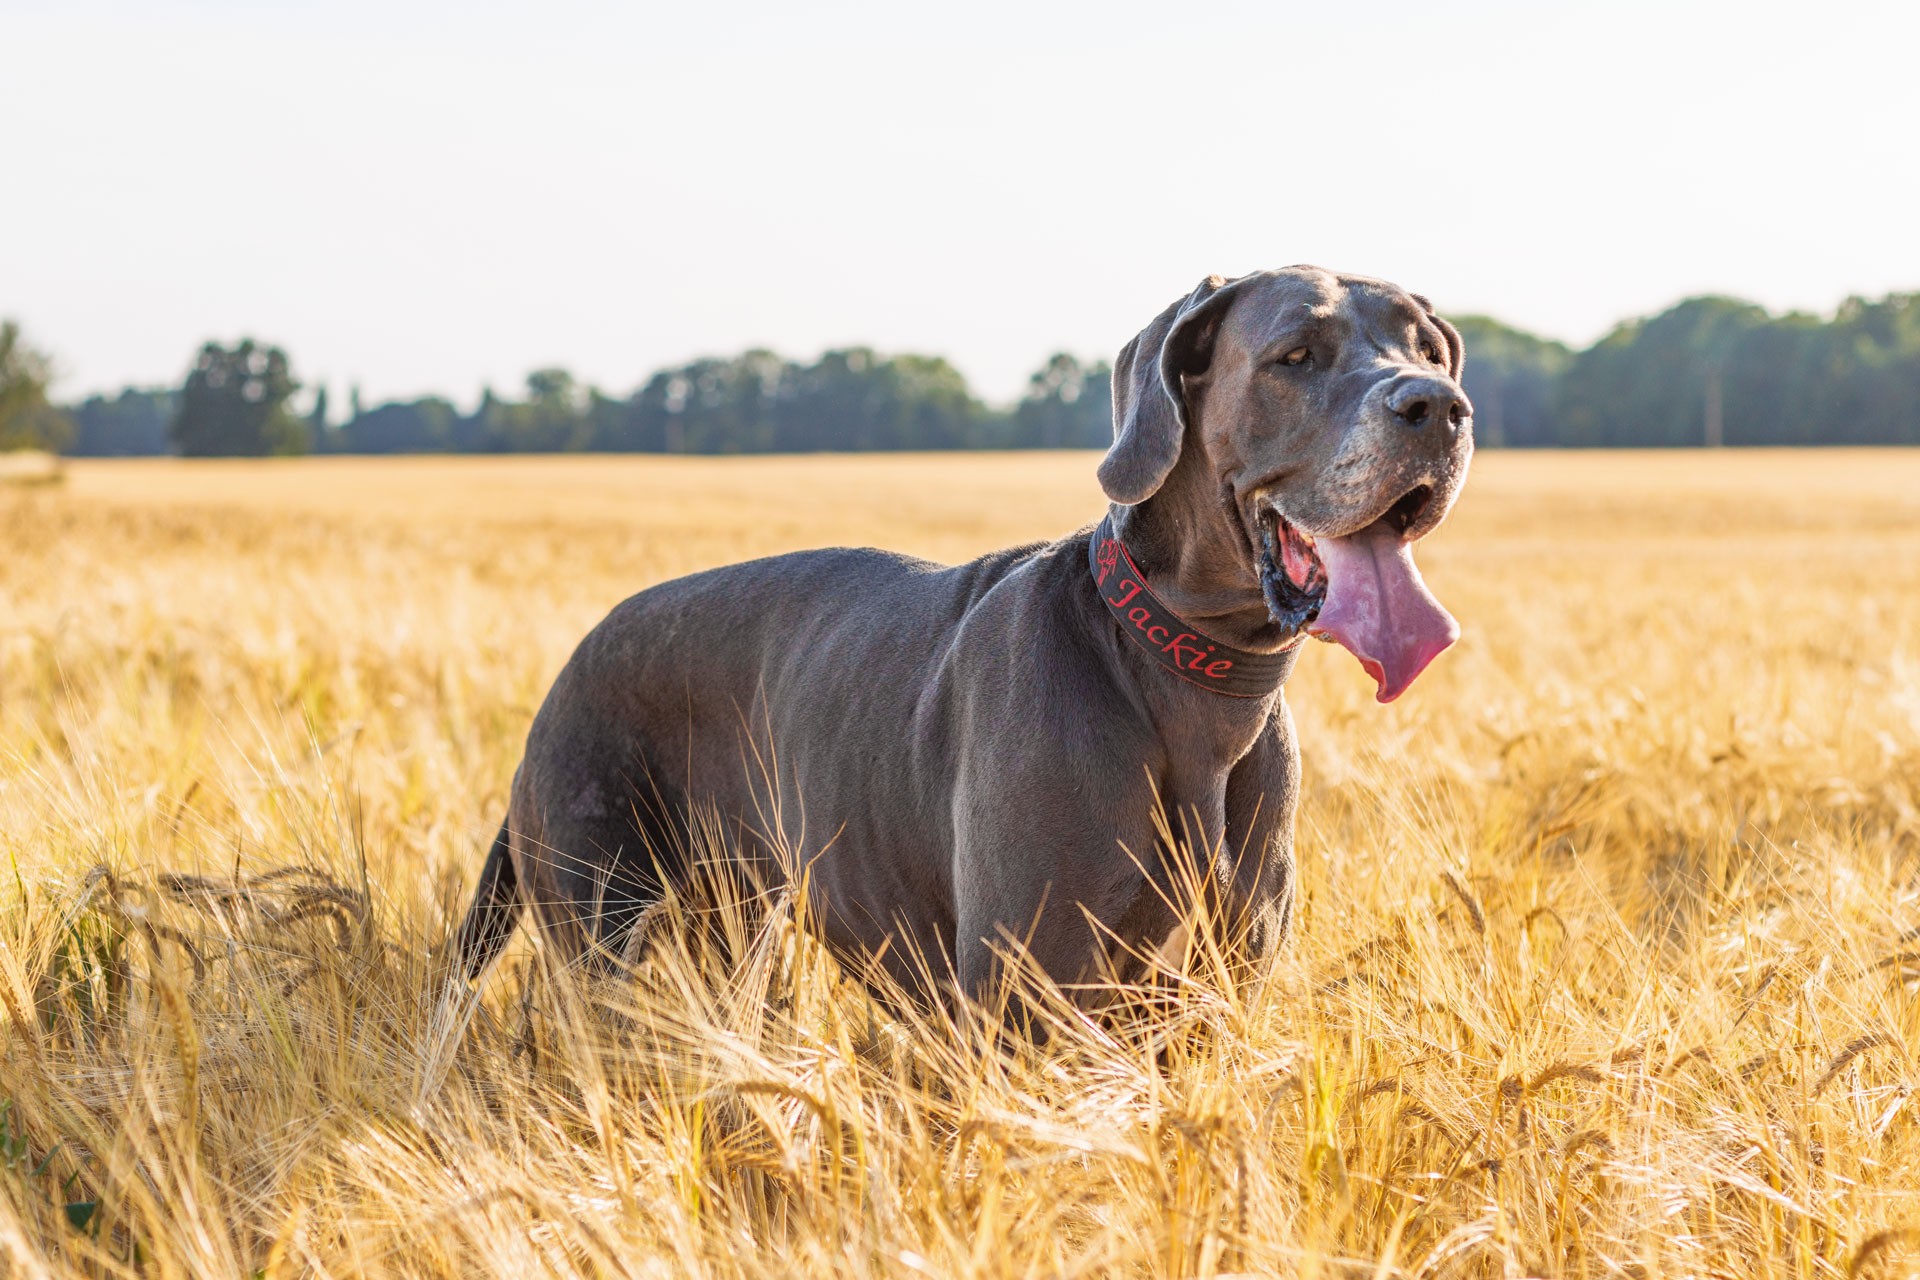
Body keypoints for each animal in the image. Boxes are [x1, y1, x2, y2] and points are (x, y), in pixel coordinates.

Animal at [456, 270, 1474, 1005]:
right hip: (609, 929)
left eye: (1431, 350)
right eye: (1296, 354)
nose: (1440, 407)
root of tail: (564, 673)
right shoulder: (1028, 994)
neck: (1186, 673)